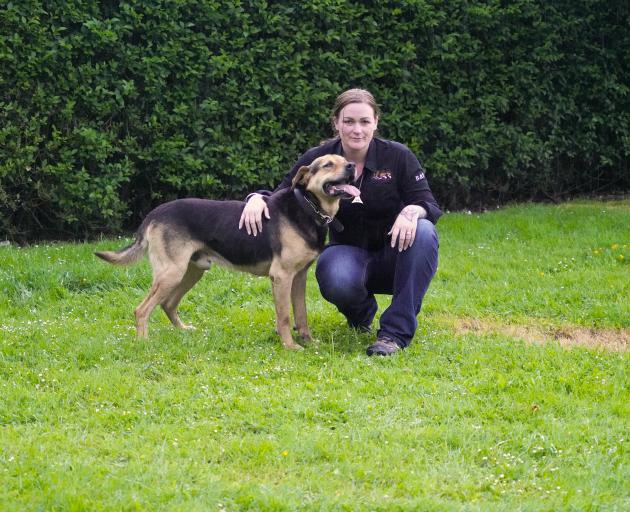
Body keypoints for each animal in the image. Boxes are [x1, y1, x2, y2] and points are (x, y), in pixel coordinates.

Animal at [94, 154, 360, 350]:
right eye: (328, 164)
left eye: (344, 159)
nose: (352, 165)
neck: (308, 205)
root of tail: (154, 214)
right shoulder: (282, 276)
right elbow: (284, 316)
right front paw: (289, 346)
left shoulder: (300, 277)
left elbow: (301, 314)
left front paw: (309, 342)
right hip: (172, 272)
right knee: (142, 309)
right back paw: (143, 343)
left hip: (191, 271)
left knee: (167, 304)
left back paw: (183, 331)